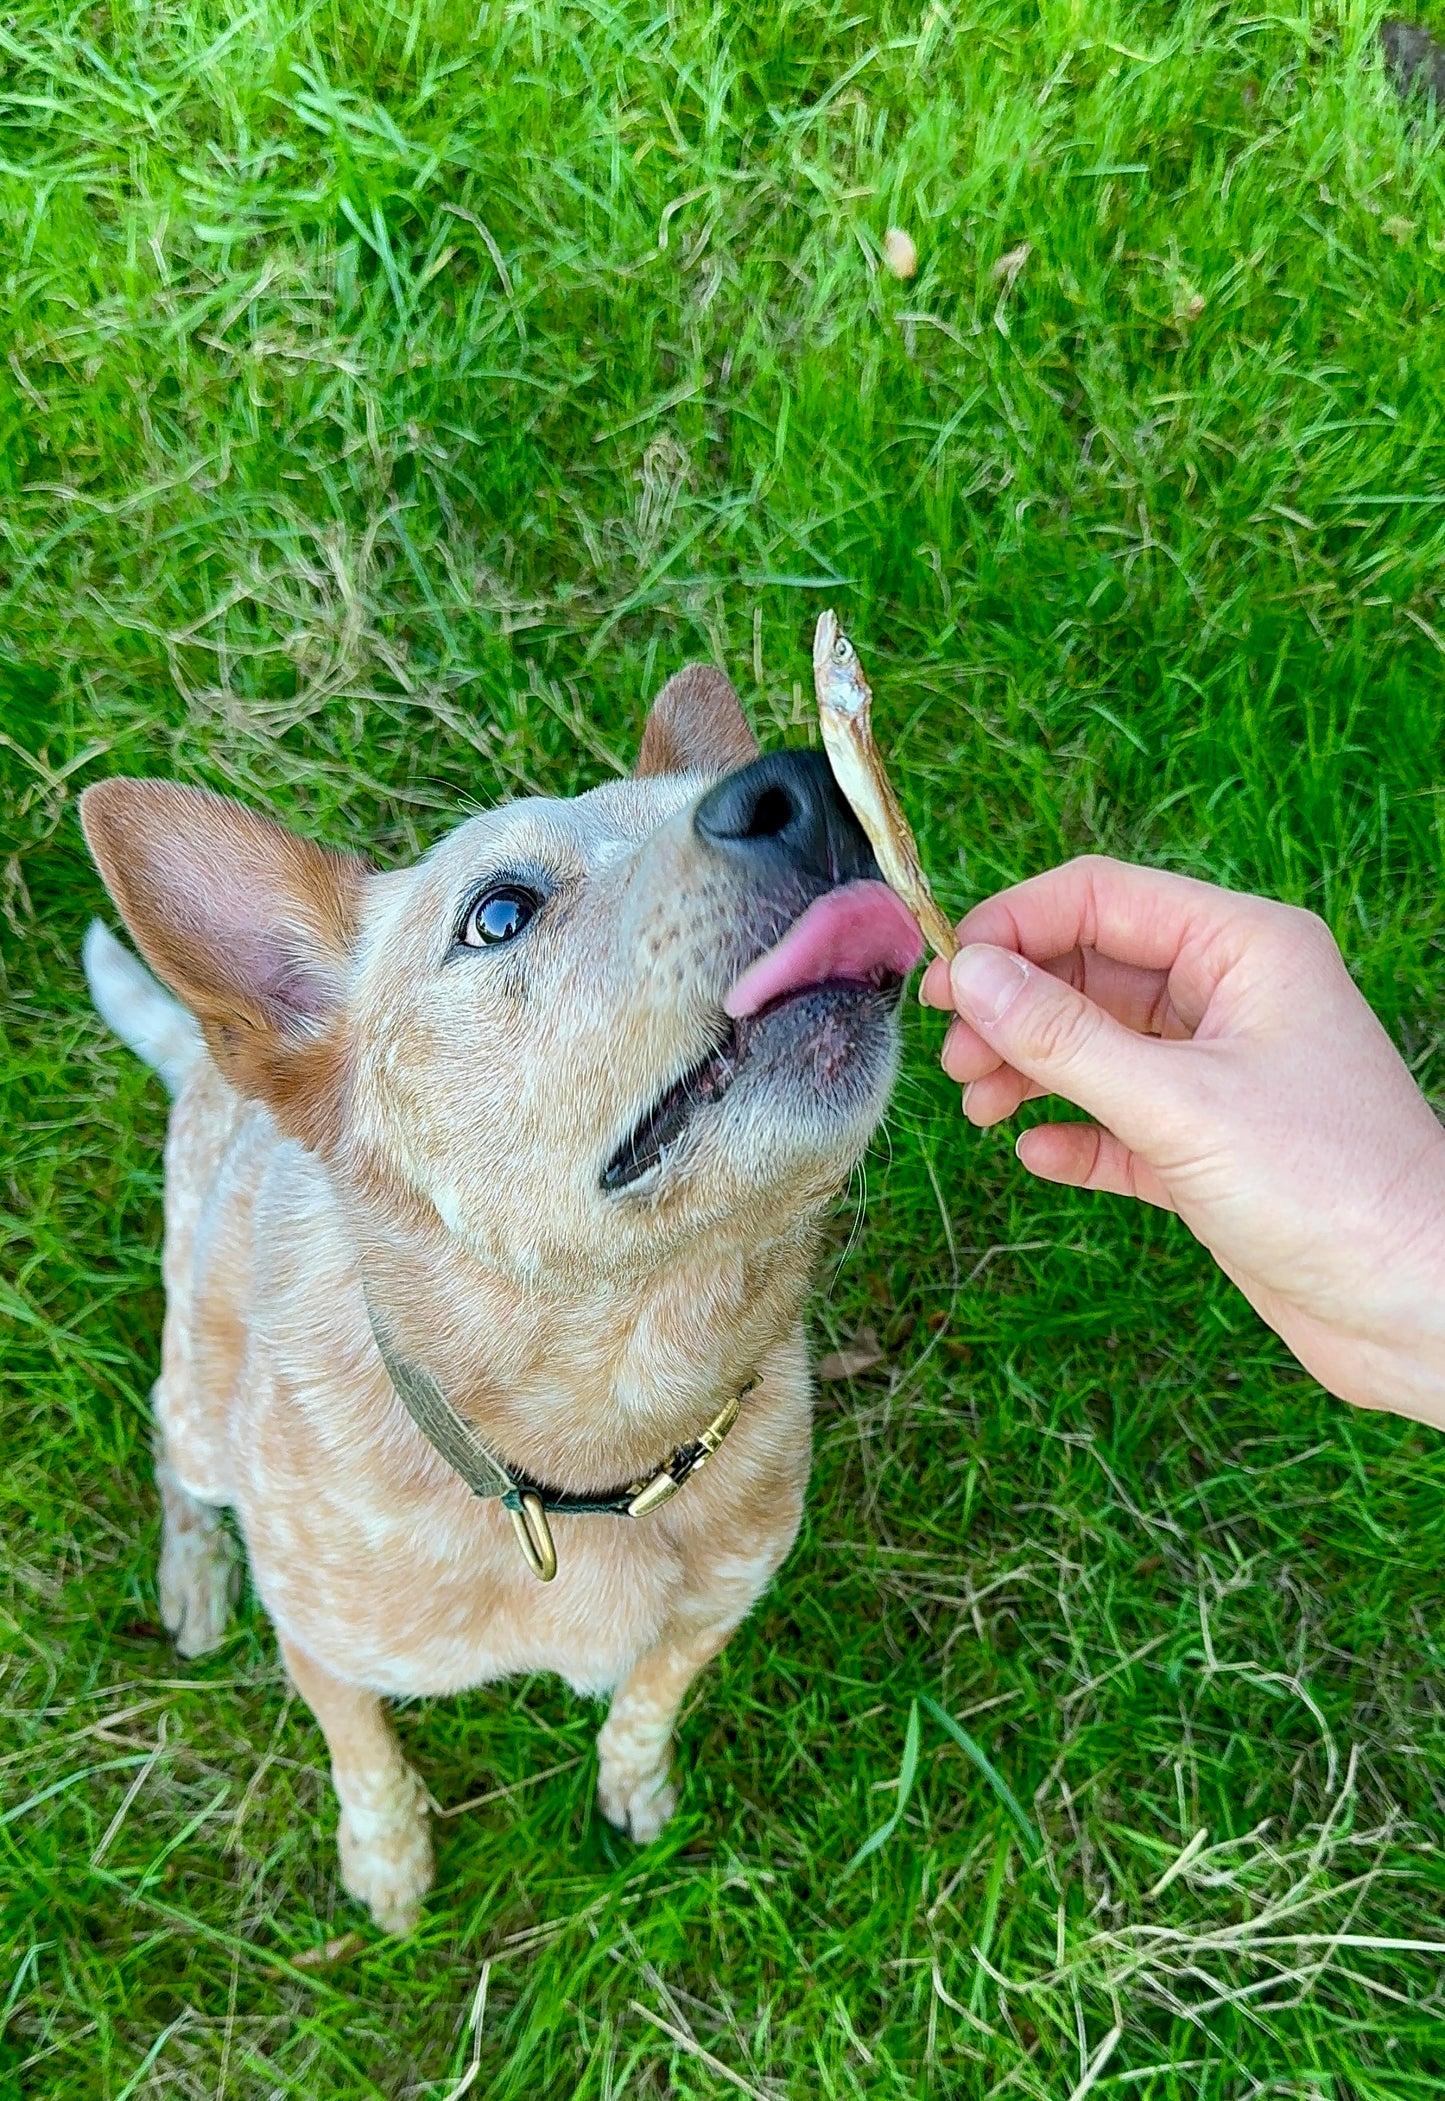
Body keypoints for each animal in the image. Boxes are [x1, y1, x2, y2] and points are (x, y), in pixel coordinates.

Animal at [78, 663, 919, 1924]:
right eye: (500, 913)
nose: (807, 787)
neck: (601, 1442)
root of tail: (200, 1068)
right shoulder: (319, 1643)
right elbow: (360, 1752)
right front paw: (385, 1859)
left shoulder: (718, 1606)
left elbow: (648, 1699)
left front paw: (636, 1788)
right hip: (194, 1401)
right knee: (175, 1461)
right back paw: (193, 1574)